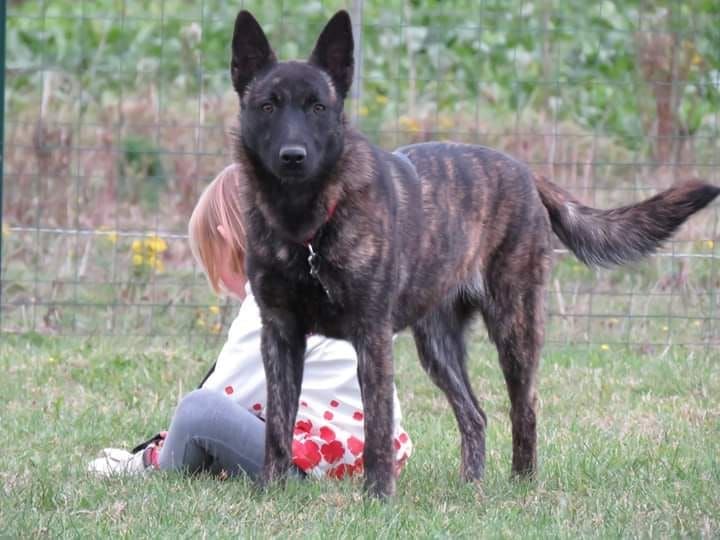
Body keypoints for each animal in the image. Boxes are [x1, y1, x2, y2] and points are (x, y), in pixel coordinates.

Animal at [229, 9, 720, 498]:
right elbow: (277, 426)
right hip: (438, 345)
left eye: (319, 107)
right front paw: (270, 491)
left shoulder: (371, 336)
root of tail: (527, 173)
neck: (307, 224)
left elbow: (377, 429)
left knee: (524, 409)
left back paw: (522, 484)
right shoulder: (280, 335)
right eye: (268, 106)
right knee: (475, 414)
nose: (293, 156)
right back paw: (472, 486)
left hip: (514, 327)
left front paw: (377, 497)